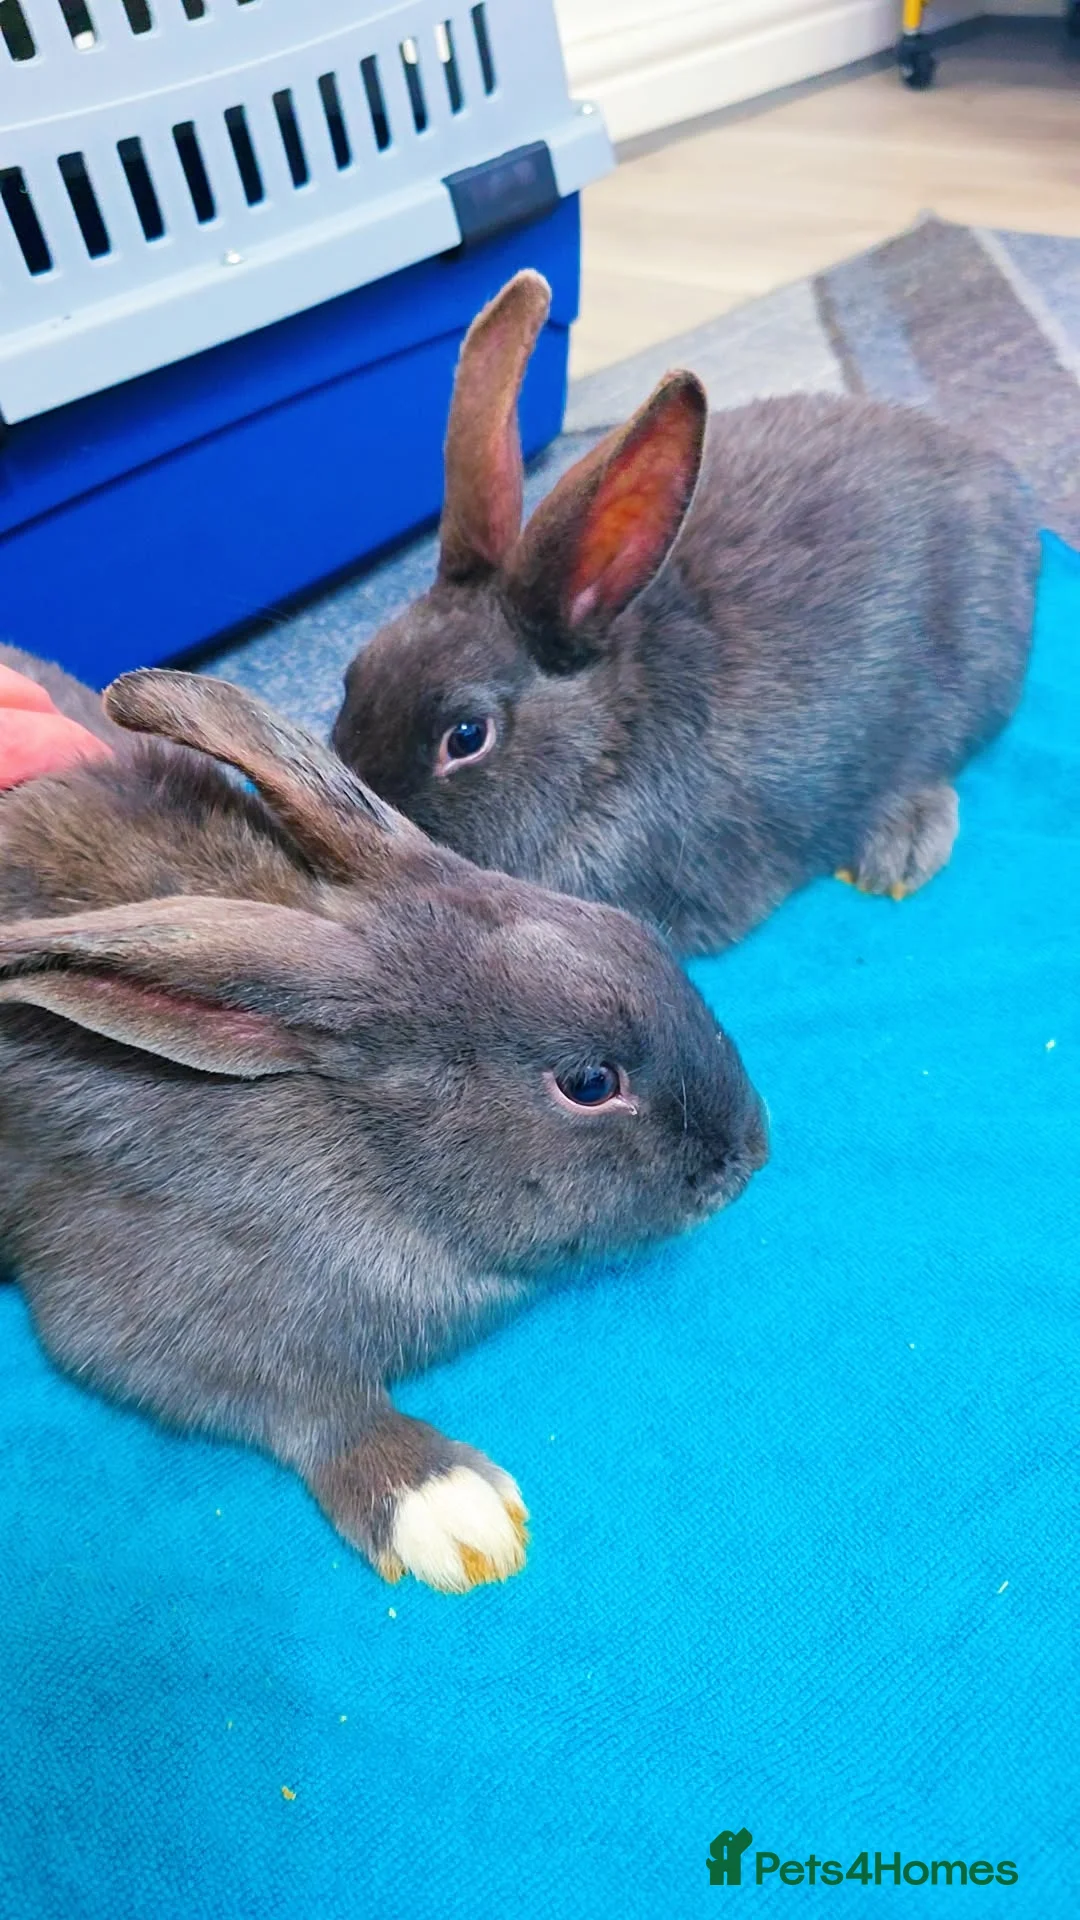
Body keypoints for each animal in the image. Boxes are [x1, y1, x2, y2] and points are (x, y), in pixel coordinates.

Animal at [0, 646, 767, 1592]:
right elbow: (306, 1408)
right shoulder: (134, 1309)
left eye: (639, 935)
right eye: (589, 1082)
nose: (750, 1152)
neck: (365, 1141)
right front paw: (453, 1509)